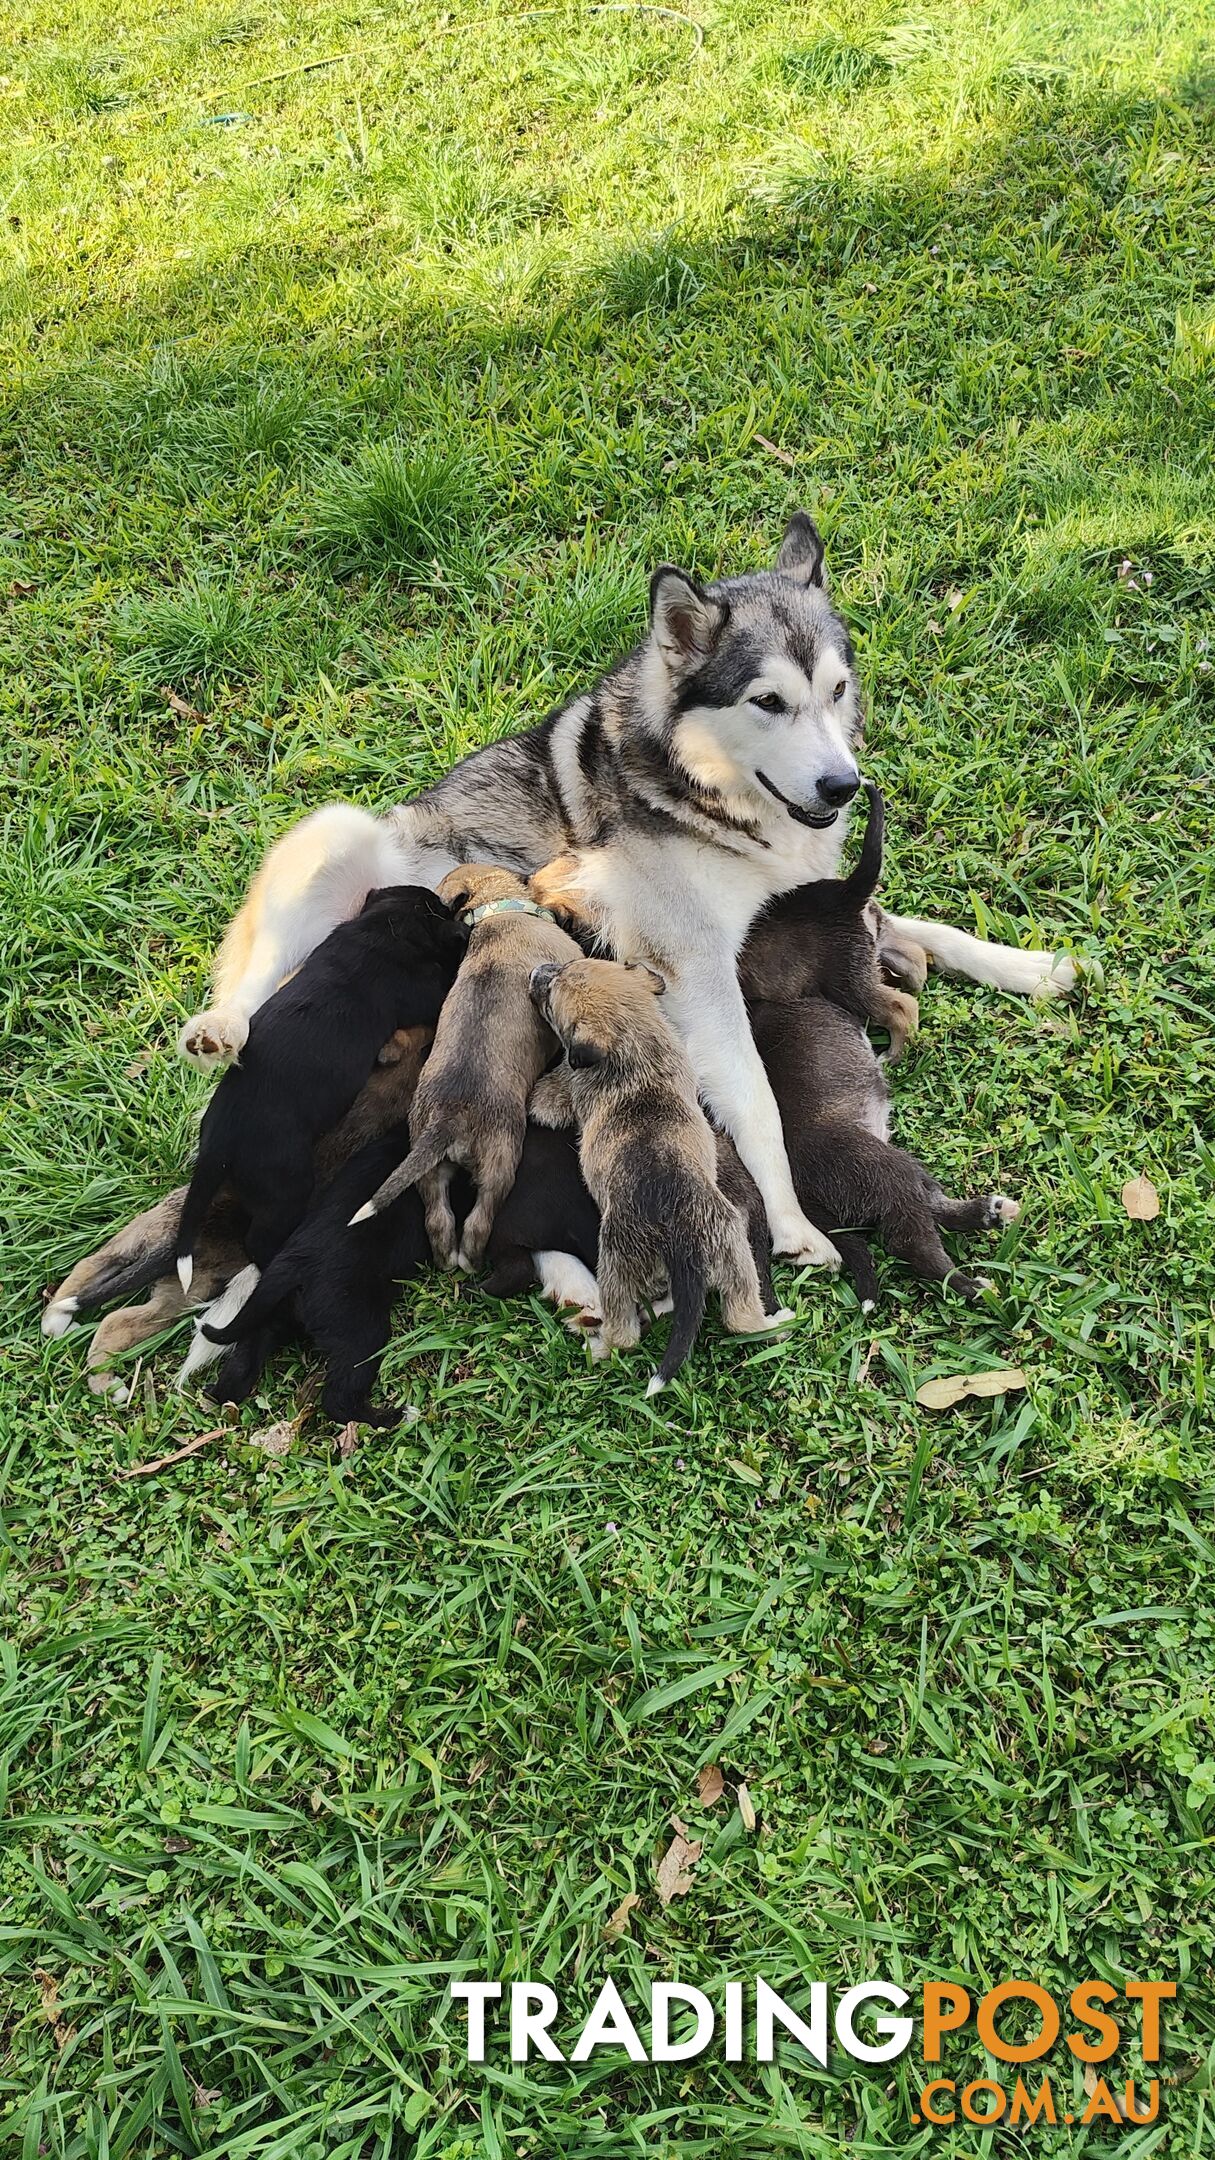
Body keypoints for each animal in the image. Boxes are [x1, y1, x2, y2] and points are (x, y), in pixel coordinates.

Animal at [350, 859, 583, 1261]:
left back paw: (447, 1257)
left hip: (428, 1165)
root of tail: (449, 1120)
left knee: (438, 1219)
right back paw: (470, 1259)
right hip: (501, 1158)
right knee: (478, 1220)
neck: (495, 911)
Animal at [525, 954, 791, 1391]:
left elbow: (550, 1096)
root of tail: (684, 1244)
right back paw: (775, 1322)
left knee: (625, 1332)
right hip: (733, 1249)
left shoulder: (568, 1082)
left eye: (551, 994)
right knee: (739, 1318)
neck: (635, 1037)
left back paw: (602, 1347)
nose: (537, 971)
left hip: (616, 1263)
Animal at [748, 993, 1011, 1296]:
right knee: (913, 1243)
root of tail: (802, 1192)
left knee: (932, 1206)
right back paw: (974, 1285)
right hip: (886, 1171)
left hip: (896, 1170)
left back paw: (991, 1213)